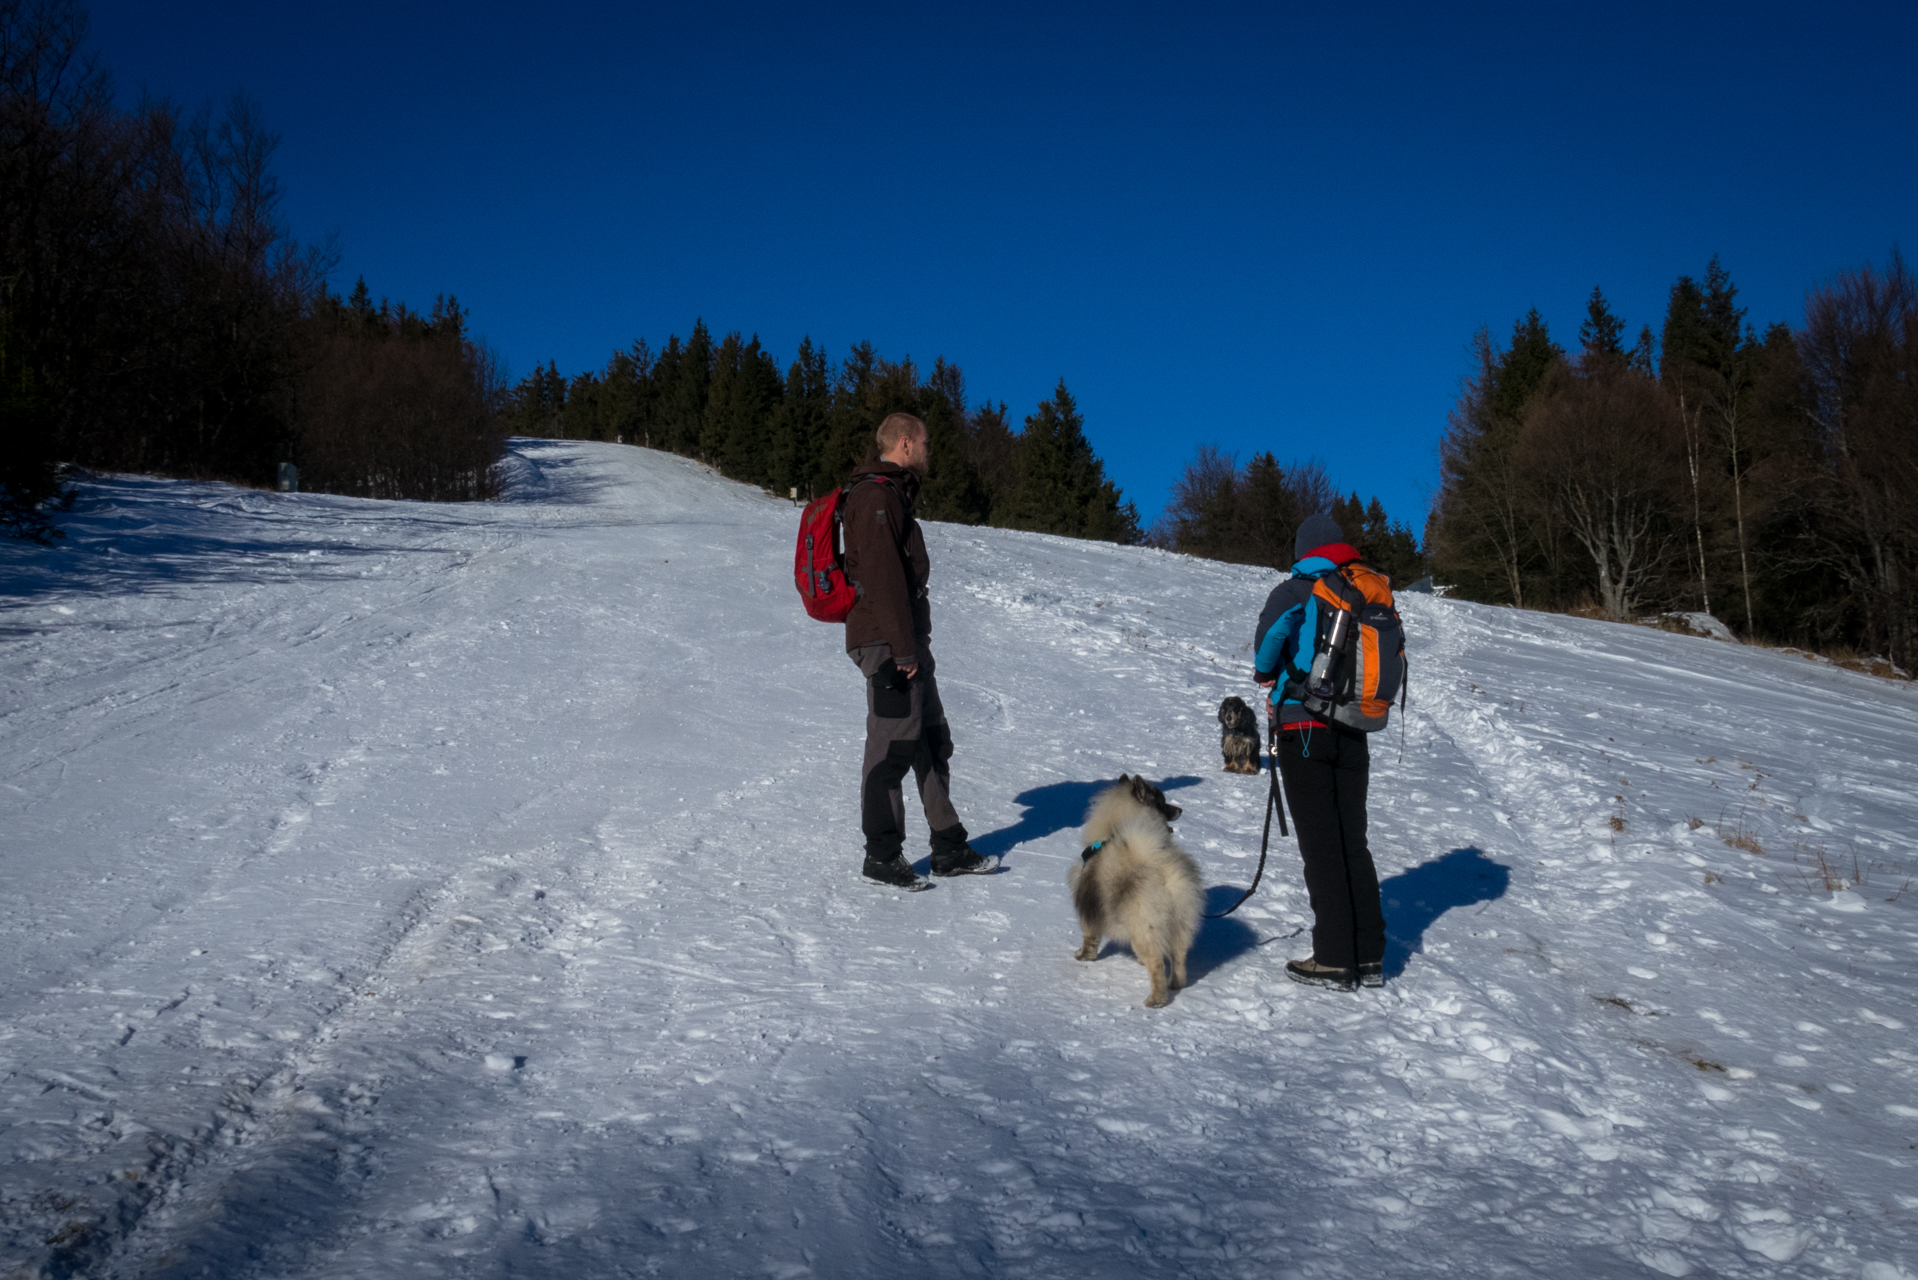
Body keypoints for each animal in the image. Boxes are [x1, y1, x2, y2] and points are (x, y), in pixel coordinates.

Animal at [1066, 771, 1196, 1013]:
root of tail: (1165, 874)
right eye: (1163, 802)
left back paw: (1156, 1000)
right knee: (1179, 957)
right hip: (1180, 924)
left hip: (1143, 928)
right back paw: (1176, 983)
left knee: (1157, 964)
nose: (1180, 809)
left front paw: (1083, 957)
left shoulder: (1090, 909)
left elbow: (1090, 938)